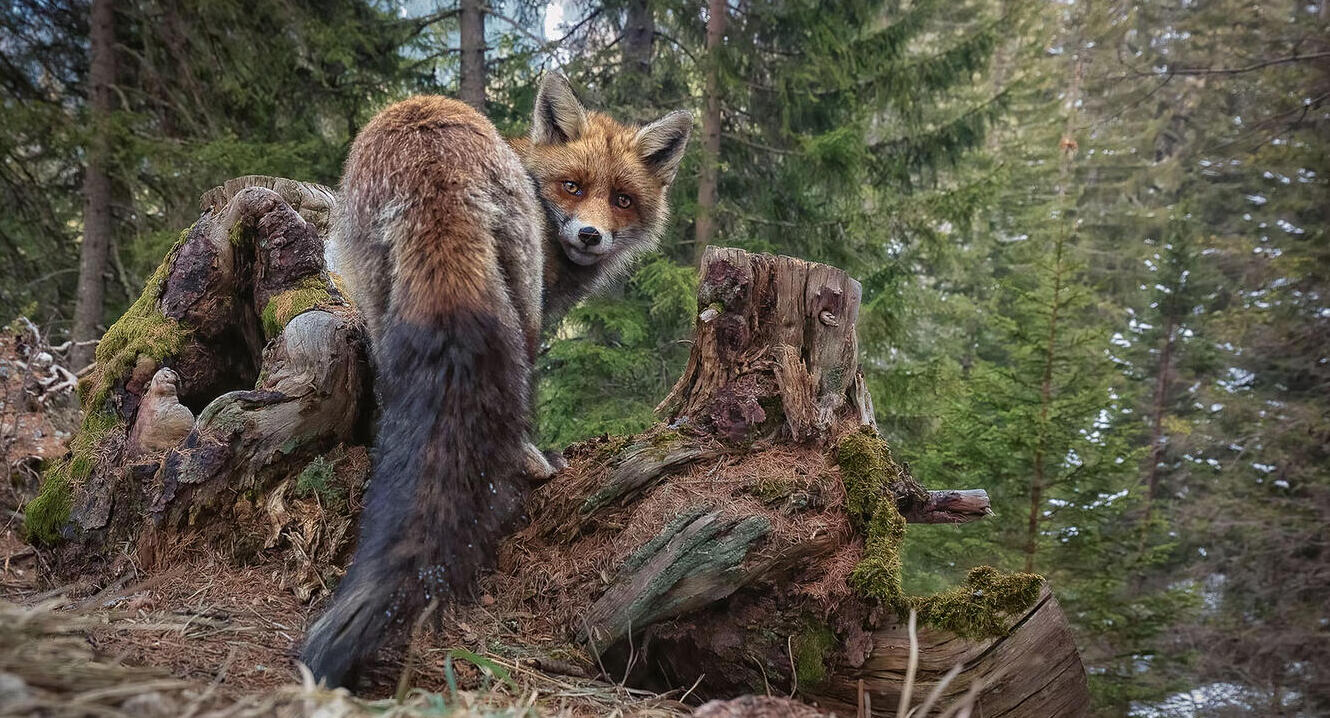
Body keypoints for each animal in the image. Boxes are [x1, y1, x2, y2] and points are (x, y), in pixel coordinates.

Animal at [301, 74, 691, 691]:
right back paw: (530, 462)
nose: (590, 235)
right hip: (519, 305)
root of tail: (429, 158)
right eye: (572, 187)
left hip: (381, 299)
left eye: (622, 200)